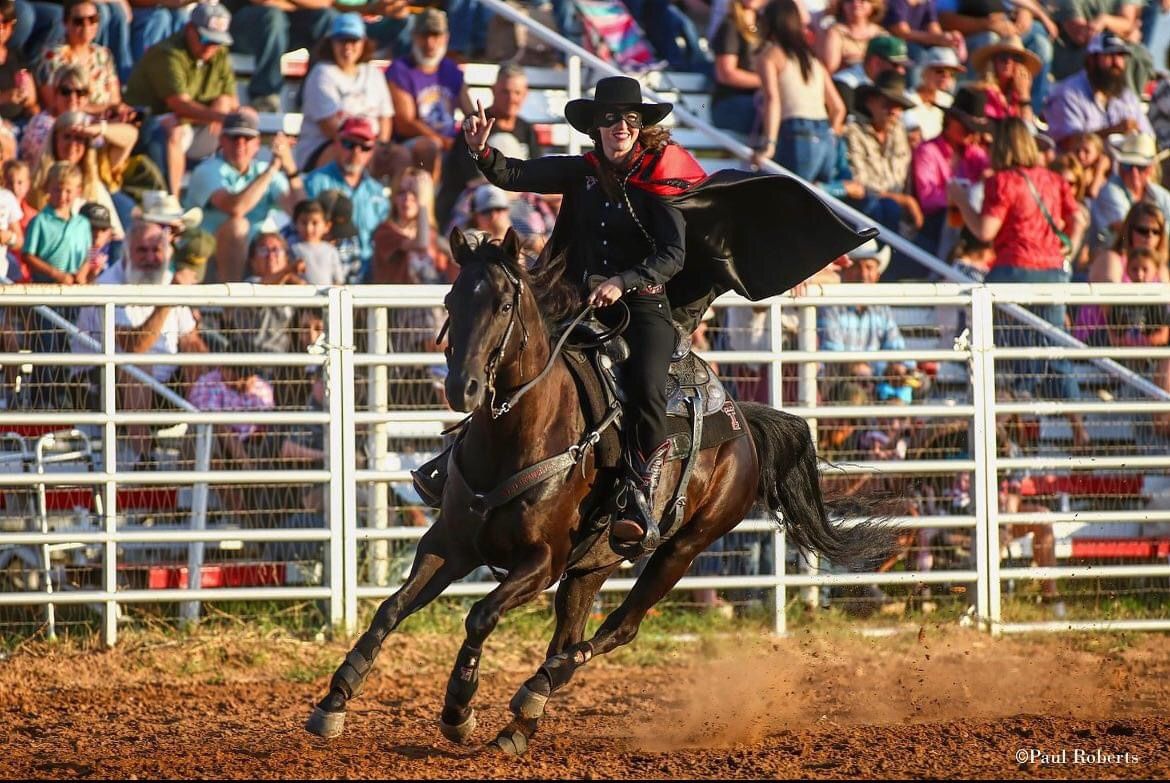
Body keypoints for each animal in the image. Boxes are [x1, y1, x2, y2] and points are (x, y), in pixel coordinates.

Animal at [304, 229, 893, 753]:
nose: (462, 388)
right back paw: (522, 721)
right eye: (451, 298)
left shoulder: (540, 562)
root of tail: (741, 420)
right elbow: (391, 609)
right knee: (569, 634)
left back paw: (537, 688)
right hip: (590, 568)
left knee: (619, 627)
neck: (519, 436)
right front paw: (334, 701)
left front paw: (458, 709)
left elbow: (480, 615)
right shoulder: (448, 544)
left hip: (682, 548)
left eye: (502, 305)